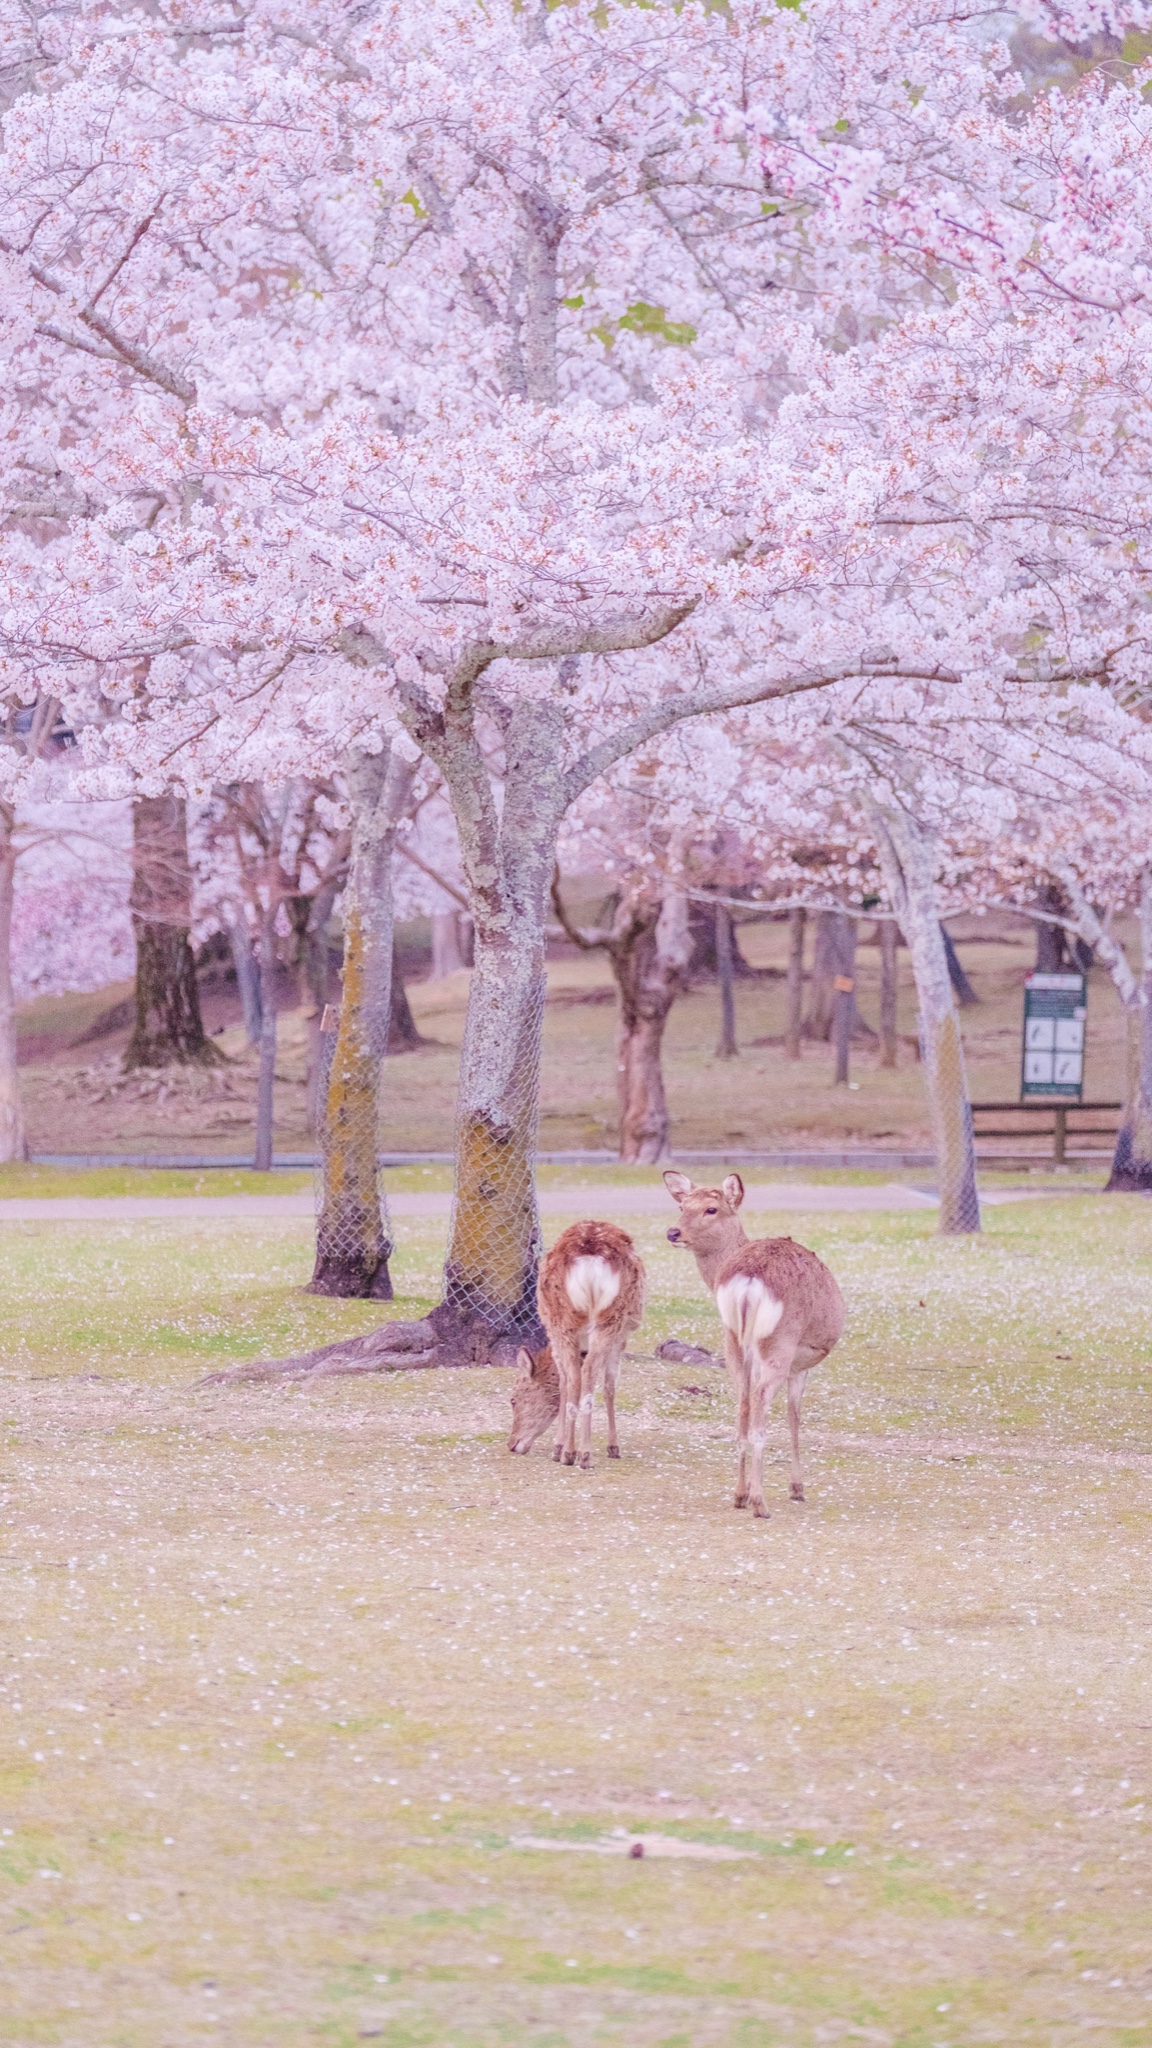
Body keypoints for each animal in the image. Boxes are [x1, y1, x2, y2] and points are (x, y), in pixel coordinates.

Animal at [506, 1212, 639, 1474]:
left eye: (513, 1400)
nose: (511, 1444)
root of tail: (590, 1256)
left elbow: (570, 1383)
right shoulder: (621, 1336)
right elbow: (605, 1384)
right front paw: (611, 1447)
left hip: (567, 1319)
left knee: (578, 1376)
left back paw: (572, 1452)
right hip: (606, 1317)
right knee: (583, 1375)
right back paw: (578, 1454)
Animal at [660, 1171, 840, 1523]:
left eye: (710, 1208)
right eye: (682, 1205)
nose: (673, 1232)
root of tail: (749, 1280)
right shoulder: (801, 1363)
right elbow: (794, 1416)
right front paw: (797, 1488)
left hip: (732, 1340)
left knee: (742, 1406)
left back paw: (740, 1495)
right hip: (779, 1343)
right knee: (759, 1409)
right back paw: (760, 1503)